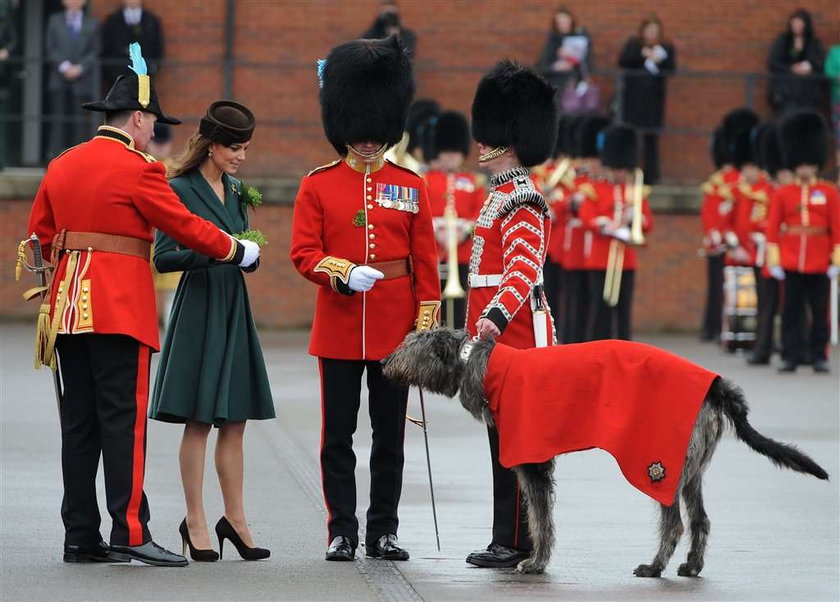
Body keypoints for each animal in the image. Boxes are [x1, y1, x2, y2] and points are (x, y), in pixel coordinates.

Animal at [384, 330, 832, 576]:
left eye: (410, 345)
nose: (386, 360)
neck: (487, 364)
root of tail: (715, 384)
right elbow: (539, 515)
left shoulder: (530, 459)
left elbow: (540, 518)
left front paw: (535, 563)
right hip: (691, 469)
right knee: (701, 520)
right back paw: (691, 566)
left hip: (659, 465)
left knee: (674, 524)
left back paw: (654, 568)